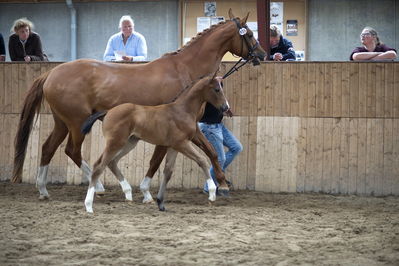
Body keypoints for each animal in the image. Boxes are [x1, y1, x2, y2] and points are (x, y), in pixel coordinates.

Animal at [81, 76, 230, 213]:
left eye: (222, 88)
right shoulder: (182, 144)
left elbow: (168, 172)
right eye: (217, 89)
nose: (226, 107)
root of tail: (108, 112)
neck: (182, 110)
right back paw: (88, 206)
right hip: (115, 143)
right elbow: (202, 160)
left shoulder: (174, 147)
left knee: (111, 162)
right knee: (99, 166)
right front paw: (212, 193)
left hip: (129, 142)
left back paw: (127, 193)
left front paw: (160, 202)